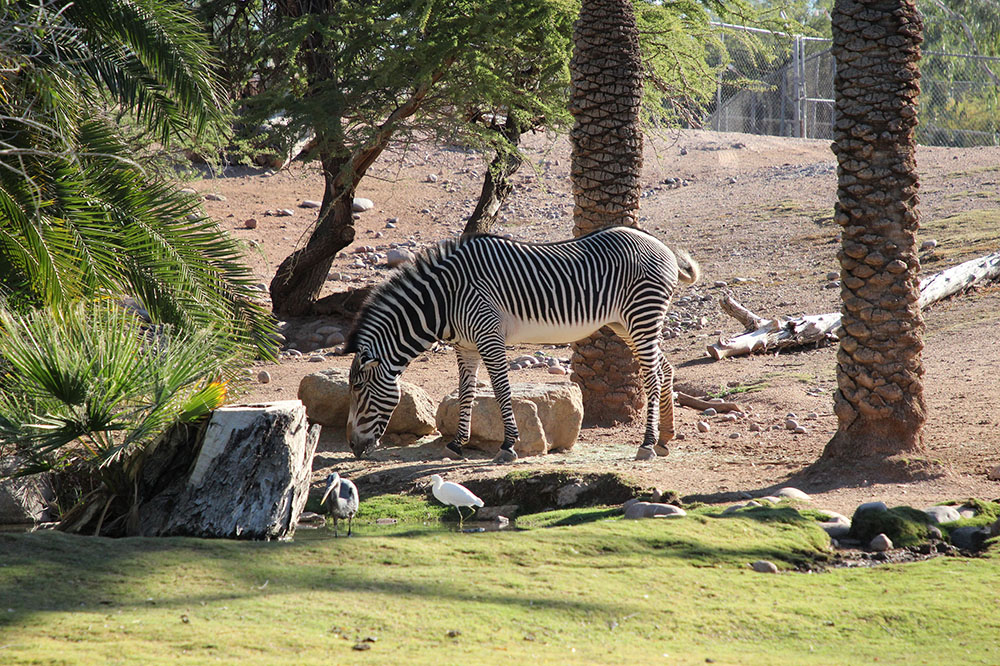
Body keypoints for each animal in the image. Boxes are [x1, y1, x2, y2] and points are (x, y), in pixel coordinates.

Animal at [348, 223, 700, 462]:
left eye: (359, 391)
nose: (352, 447)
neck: (445, 299)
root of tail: (663, 247)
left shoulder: (489, 336)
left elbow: (501, 390)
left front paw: (507, 446)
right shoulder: (465, 346)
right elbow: (466, 392)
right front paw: (458, 443)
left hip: (642, 316)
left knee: (652, 376)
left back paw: (647, 443)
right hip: (625, 324)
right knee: (664, 370)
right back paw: (665, 438)